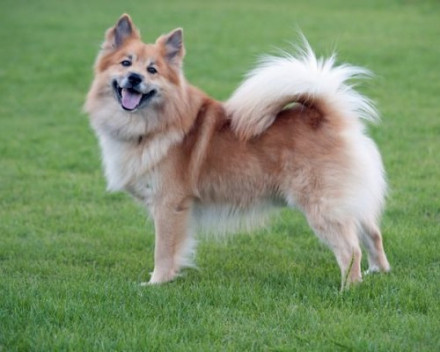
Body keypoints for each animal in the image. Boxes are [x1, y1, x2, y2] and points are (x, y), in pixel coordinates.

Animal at [84, 14, 390, 288]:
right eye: (125, 63)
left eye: (152, 70)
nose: (134, 78)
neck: (154, 124)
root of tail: (328, 118)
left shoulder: (168, 204)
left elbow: (164, 250)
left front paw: (156, 283)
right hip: (350, 202)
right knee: (373, 234)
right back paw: (378, 271)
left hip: (322, 206)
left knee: (350, 249)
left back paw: (348, 289)